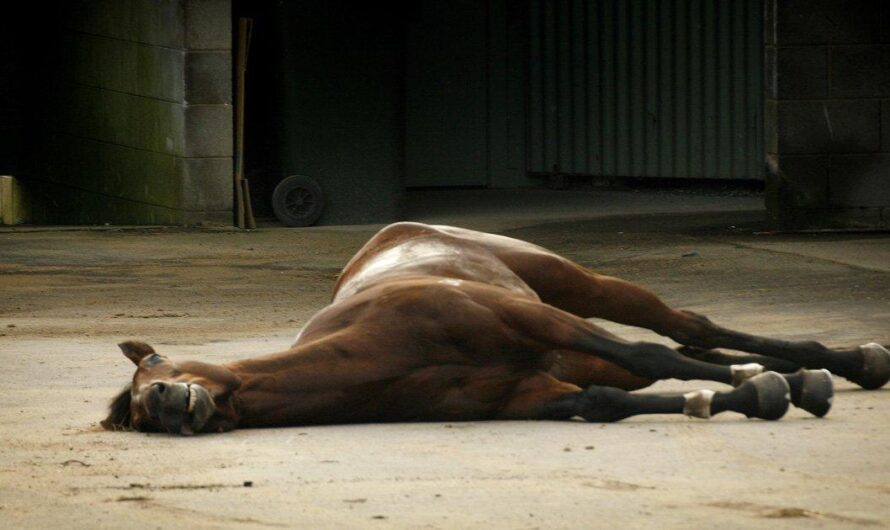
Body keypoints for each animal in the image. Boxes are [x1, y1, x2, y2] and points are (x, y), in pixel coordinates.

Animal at [104, 221, 888, 432]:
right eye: (139, 415)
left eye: (155, 371)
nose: (168, 405)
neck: (380, 352)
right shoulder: (531, 394)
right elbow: (610, 401)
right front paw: (766, 393)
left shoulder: (533, 320)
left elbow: (646, 352)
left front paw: (798, 382)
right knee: (680, 348)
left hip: (576, 289)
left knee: (676, 327)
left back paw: (848, 359)